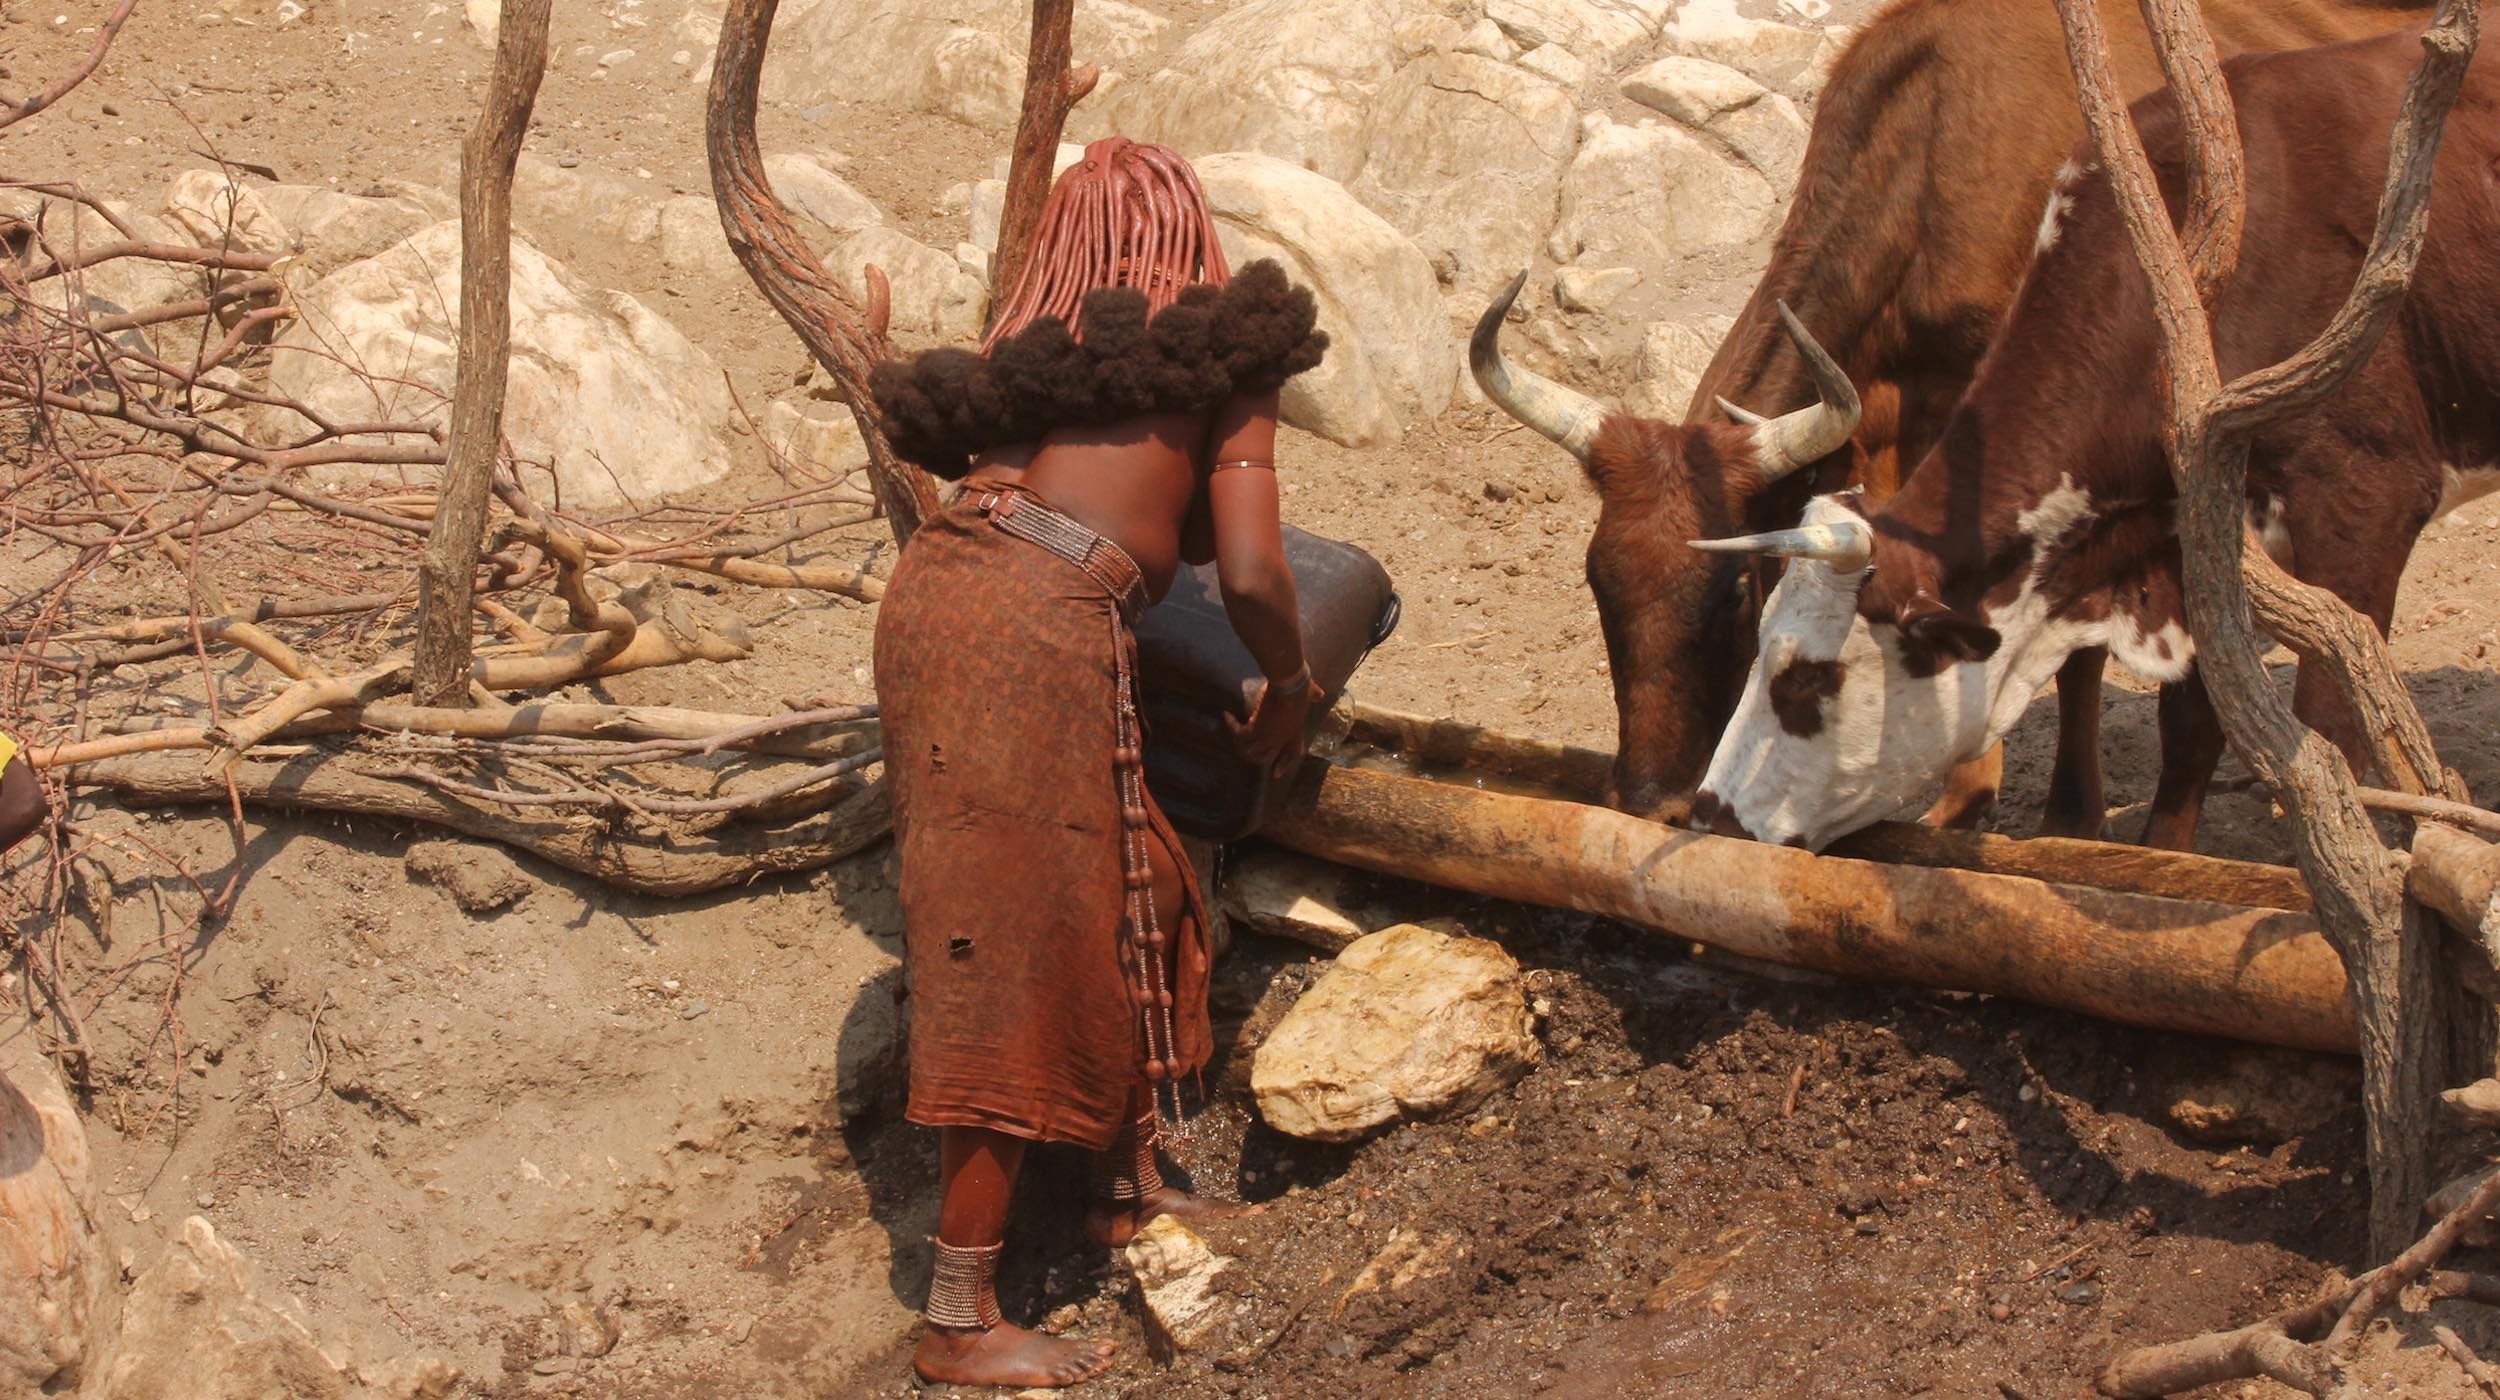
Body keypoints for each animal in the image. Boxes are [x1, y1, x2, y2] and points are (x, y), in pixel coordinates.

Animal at [1470, 0, 2430, 830]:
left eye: (1734, 593)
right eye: (1600, 583)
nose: (1650, 802)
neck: (1935, 150)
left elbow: (2068, 649)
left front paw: (2046, 812)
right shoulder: (1893, 425)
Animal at [1680, 24, 2500, 855]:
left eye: (1809, 679)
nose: (1713, 811)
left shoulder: (2362, 504)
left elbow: (2327, 733)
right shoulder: (2196, 545)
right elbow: (2193, 720)